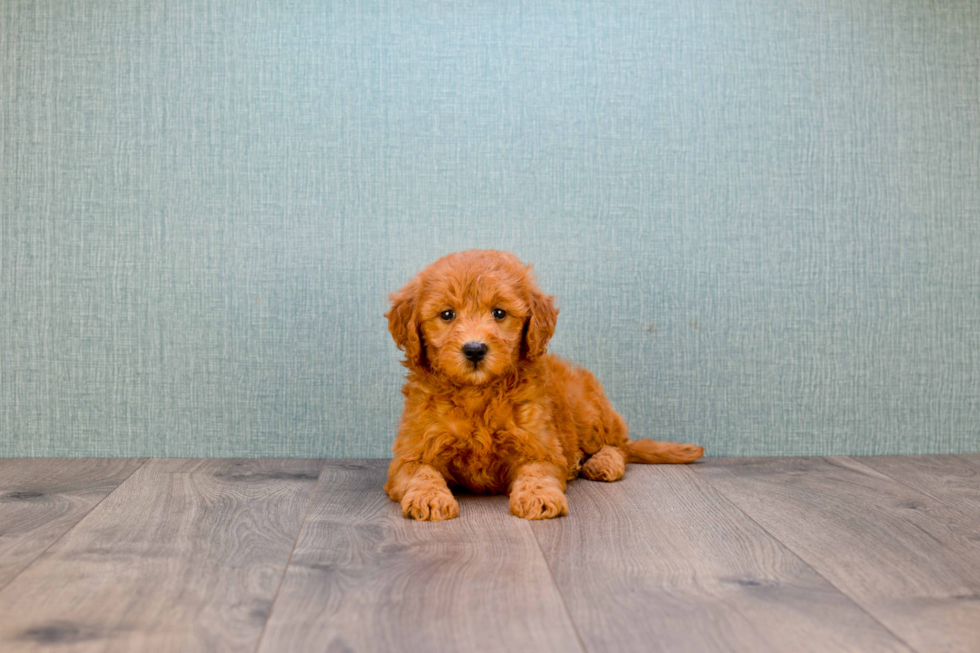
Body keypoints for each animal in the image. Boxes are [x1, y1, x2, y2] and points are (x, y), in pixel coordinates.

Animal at [382, 250, 704, 520]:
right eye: (447, 314)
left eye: (499, 313)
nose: (474, 350)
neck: (478, 392)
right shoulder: (411, 453)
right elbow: (421, 474)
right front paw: (429, 498)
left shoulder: (539, 447)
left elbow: (537, 473)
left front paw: (537, 498)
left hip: (588, 411)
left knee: (618, 445)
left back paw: (601, 463)